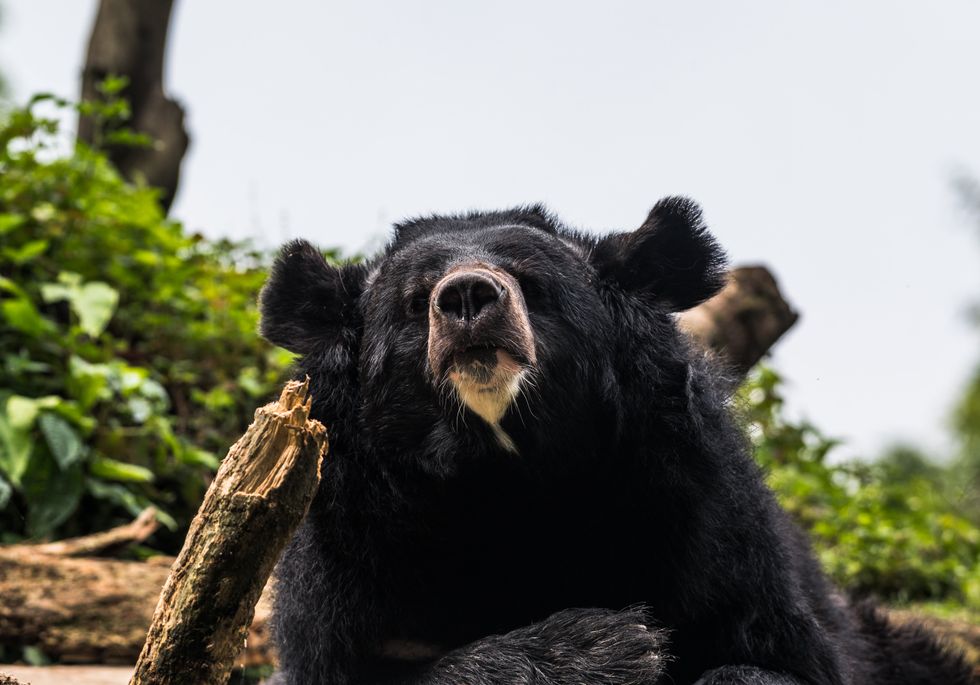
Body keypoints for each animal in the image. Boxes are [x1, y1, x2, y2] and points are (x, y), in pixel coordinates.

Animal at [259, 198, 972, 685]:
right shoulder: (351, 552)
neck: (504, 476)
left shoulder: (704, 514)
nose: (466, 297)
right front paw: (601, 648)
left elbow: (775, 656)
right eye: (414, 302)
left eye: (531, 283)